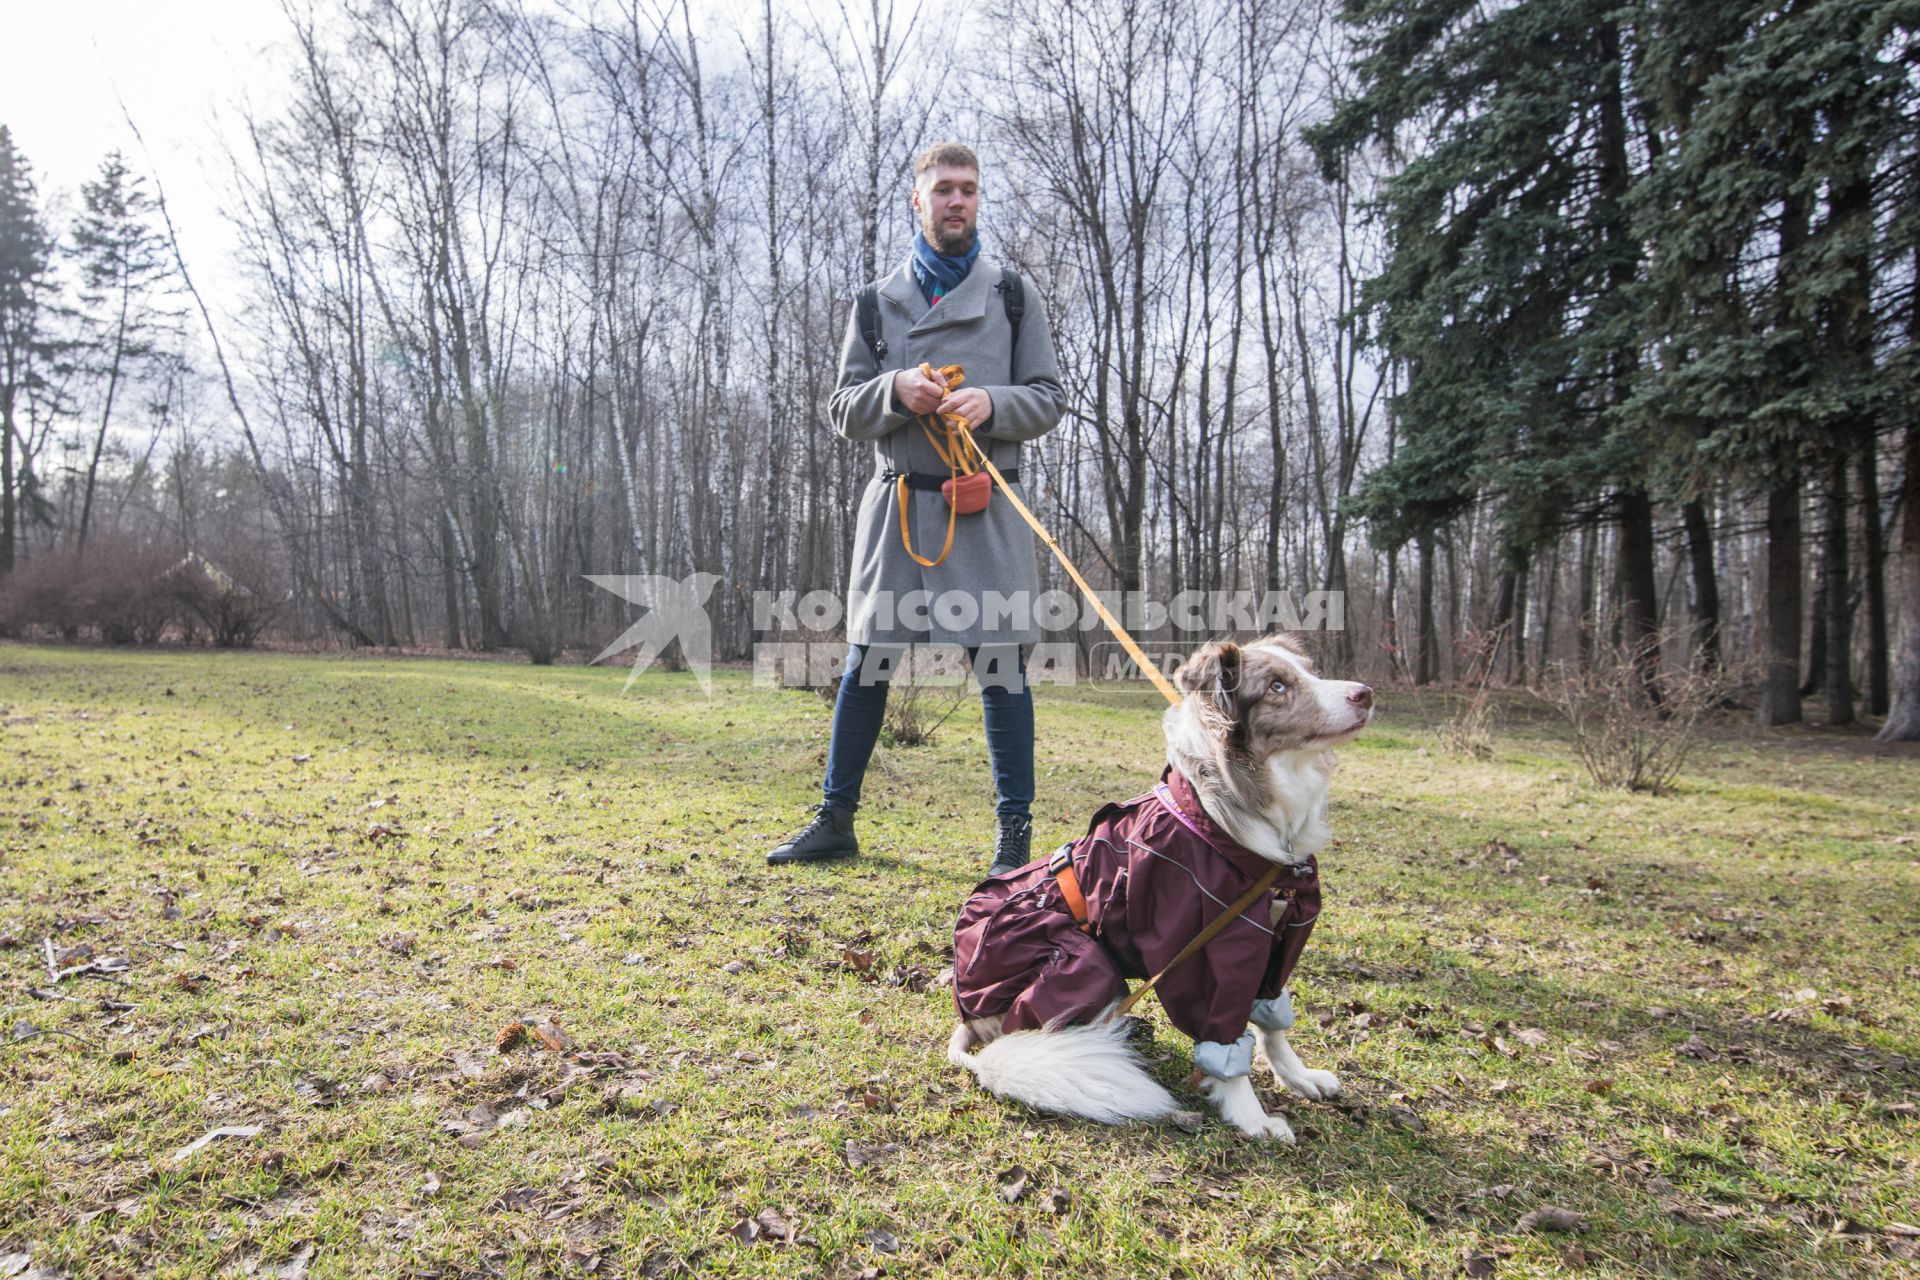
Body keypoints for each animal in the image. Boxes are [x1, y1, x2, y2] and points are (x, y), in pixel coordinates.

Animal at [940, 633, 1367, 1143]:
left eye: (1311, 672)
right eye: (1277, 686)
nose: (1365, 694)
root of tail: (967, 1014)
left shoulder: (1279, 942)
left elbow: (1273, 1026)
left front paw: (1298, 1077)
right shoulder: (1212, 956)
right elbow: (1224, 1034)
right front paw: (1252, 1117)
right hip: (1082, 962)